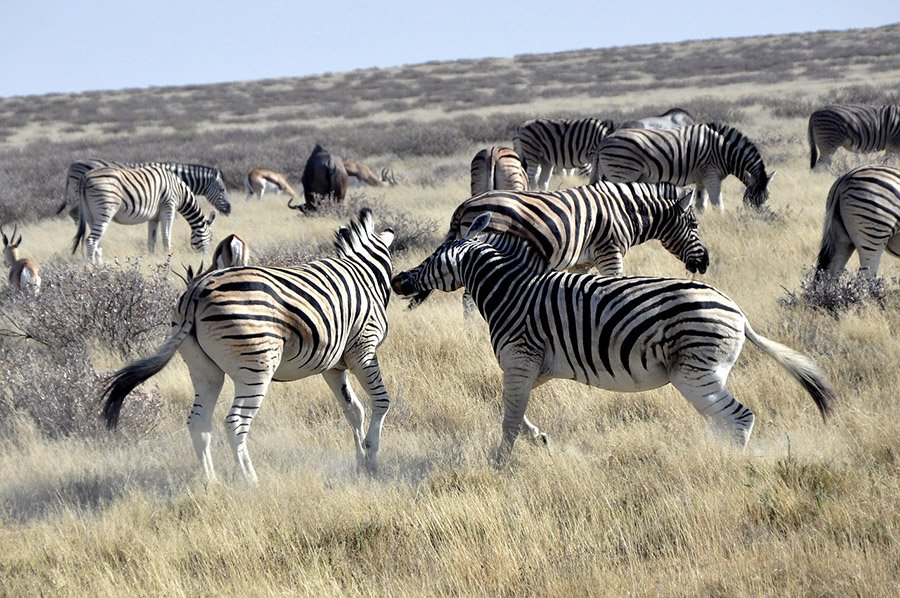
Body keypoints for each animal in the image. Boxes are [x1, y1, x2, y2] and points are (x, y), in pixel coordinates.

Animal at [58, 159, 231, 220]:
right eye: (222, 189)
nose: (229, 210)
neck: (177, 177)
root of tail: (73, 164)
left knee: (73, 212)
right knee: (75, 213)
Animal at [71, 165, 216, 263]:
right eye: (211, 238)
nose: (205, 258)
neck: (179, 191)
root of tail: (85, 177)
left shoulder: (154, 218)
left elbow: (151, 241)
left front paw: (151, 259)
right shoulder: (168, 208)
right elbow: (166, 237)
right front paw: (168, 257)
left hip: (90, 216)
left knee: (96, 242)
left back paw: (100, 266)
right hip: (105, 211)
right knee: (91, 240)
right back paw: (91, 268)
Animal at [102, 209, 395, 483]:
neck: (363, 272)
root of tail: (196, 290)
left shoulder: (333, 365)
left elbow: (353, 410)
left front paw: (362, 462)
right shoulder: (363, 350)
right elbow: (381, 401)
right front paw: (372, 457)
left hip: (203, 369)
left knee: (198, 422)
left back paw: (211, 480)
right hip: (256, 367)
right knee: (235, 422)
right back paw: (250, 479)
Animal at [391, 214, 835, 462]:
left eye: (430, 260)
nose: (397, 280)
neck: (508, 291)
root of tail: (738, 312)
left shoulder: (519, 360)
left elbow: (509, 419)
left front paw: (499, 464)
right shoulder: (532, 369)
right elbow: (511, 412)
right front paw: (540, 440)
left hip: (694, 374)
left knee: (739, 418)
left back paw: (732, 464)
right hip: (705, 374)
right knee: (725, 420)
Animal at [592, 122, 775, 212]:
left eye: (767, 198)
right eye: (751, 198)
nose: (759, 219)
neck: (724, 150)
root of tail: (603, 141)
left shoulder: (702, 178)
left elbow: (701, 205)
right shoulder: (711, 174)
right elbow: (718, 205)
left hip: (610, 174)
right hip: (621, 173)